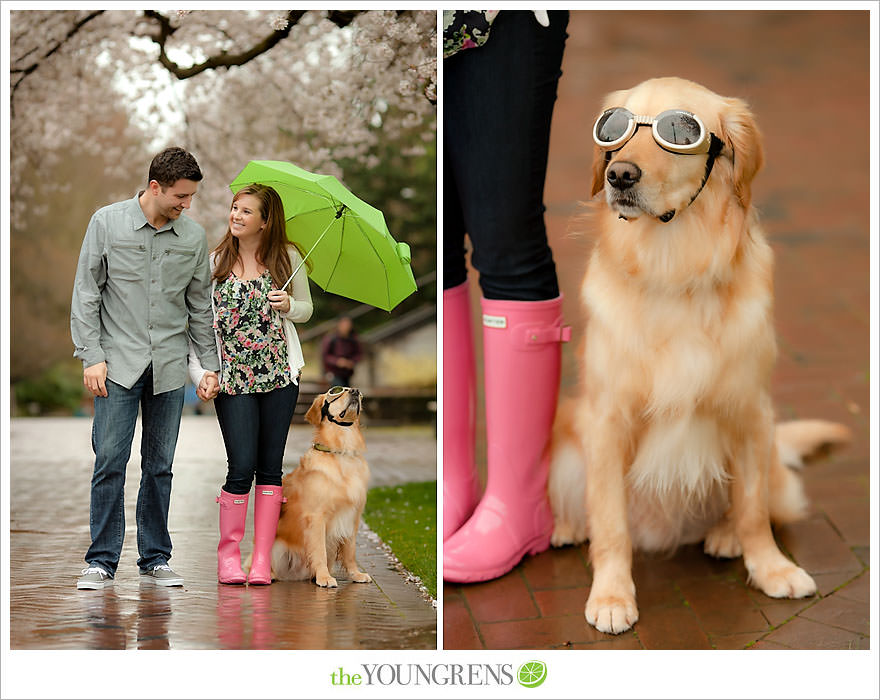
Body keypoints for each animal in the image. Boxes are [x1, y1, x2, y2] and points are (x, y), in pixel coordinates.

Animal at [268, 386, 372, 588]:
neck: (341, 451)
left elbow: (350, 552)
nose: (355, 391)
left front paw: (355, 574)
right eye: (336, 393)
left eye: (355, 391)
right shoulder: (316, 517)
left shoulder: (353, 516)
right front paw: (324, 577)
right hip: (277, 545)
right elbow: (319, 550)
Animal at [548, 76, 848, 636]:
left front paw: (771, 568)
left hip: (772, 459)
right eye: (614, 128)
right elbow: (611, 523)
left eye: (678, 131)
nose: (620, 174)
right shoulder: (608, 419)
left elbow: (751, 510)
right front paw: (612, 595)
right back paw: (567, 526)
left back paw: (726, 537)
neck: (674, 268)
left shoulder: (751, 411)